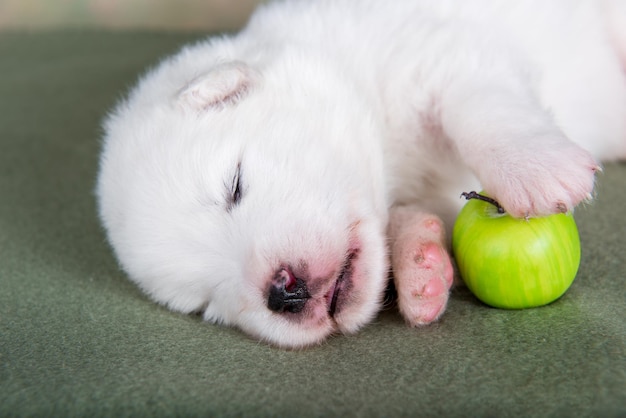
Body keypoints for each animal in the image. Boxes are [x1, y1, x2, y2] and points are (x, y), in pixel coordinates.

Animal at [96, 0, 624, 346]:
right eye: (204, 303)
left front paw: (535, 167)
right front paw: (421, 265)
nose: (283, 293)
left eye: (235, 184)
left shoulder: (437, 53)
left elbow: (481, 104)